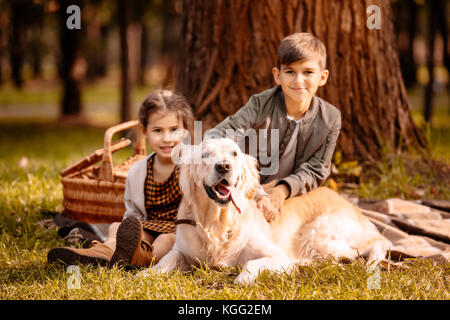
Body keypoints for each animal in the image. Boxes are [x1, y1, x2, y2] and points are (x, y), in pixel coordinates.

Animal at [148, 139, 390, 284]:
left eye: (234, 154)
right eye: (205, 155)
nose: (224, 166)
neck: (218, 223)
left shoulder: (275, 254)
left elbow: (250, 264)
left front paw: (241, 278)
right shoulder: (182, 249)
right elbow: (166, 260)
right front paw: (146, 274)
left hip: (317, 236)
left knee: (369, 247)